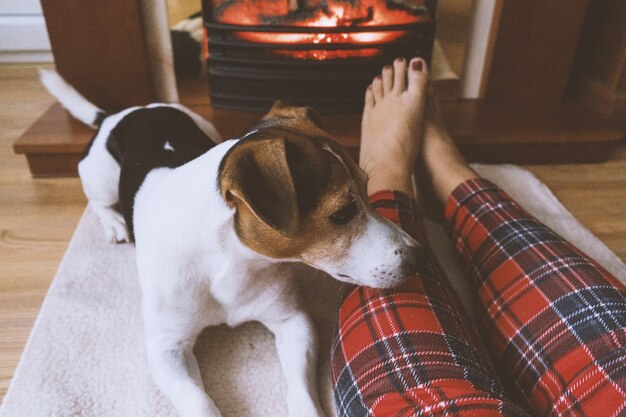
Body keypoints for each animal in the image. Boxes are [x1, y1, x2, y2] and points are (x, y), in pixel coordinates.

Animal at [40, 70, 424, 416]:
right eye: (343, 213)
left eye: (368, 187)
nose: (416, 256)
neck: (228, 260)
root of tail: (122, 113)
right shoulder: (166, 350)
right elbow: (199, 401)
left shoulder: (293, 321)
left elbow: (299, 388)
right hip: (100, 177)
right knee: (98, 201)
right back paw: (114, 222)